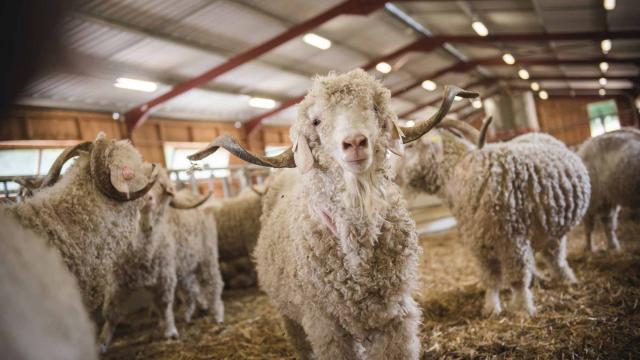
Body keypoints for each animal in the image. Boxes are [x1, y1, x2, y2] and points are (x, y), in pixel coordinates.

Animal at [188, 69, 478, 358]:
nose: (355, 142)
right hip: (289, 314)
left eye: (374, 108)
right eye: (316, 121)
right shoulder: (325, 325)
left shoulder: (395, 317)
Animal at [398, 119, 592, 316]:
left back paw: (567, 279)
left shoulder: (512, 239)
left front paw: (522, 308)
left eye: (411, 145)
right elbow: (490, 279)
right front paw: (491, 308)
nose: (395, 176)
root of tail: (538, 134)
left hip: (553, 230)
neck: (460, 174)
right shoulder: (479, 242)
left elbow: (517, 278)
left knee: (556, 257)